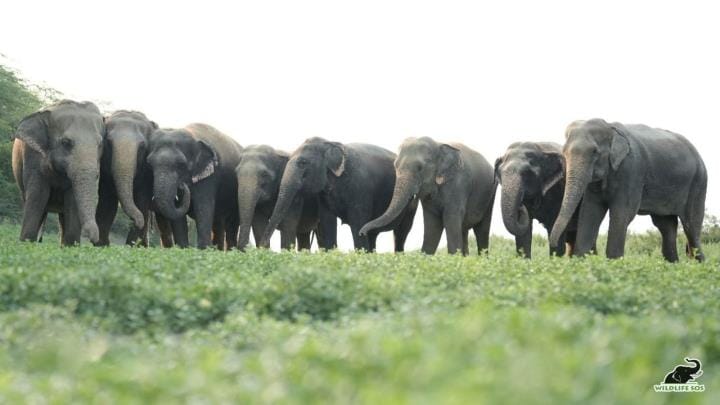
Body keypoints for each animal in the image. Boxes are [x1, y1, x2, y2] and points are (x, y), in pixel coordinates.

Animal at [12, 100, 104, 246]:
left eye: (100, 144)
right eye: (66, 142)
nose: (93, 238)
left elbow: (72, 201)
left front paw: (71, 246)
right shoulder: (32, 156)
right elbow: (38, 196)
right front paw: (26, 244)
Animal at [95, 110, 158, 246]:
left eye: (142, 146)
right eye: (109, 142)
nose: (137, 222)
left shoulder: (146, 173)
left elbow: (141, 201)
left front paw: (134, 246)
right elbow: (107, 203)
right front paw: (102, 245)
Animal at [260, 137, 417, 252]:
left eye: (303, 163)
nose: (261, 248)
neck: (329, 142)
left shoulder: (360, 188)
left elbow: (358, 222)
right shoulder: (323, 196)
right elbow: (327, 221)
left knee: (401, 232)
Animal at [360, 137, 496, 255]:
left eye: (420, 168)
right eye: (395, 166)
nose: (362, 233)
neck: (438, 144)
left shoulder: (459, 183)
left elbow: (451, 218)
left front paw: (454, 259)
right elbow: (431, 224)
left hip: (490, 195)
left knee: (482, 230)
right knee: (464, 230)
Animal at [549, 119, 707, 262]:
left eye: (595, 152)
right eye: (564, 152)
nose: (556, 247)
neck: (610, 128)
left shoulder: (631, 170)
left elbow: (622, 212)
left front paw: (614, 264)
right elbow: (590, 211)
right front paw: (580, 262)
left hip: (698, 183)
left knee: (691, 227)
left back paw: (700, 265)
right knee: (665, 225)